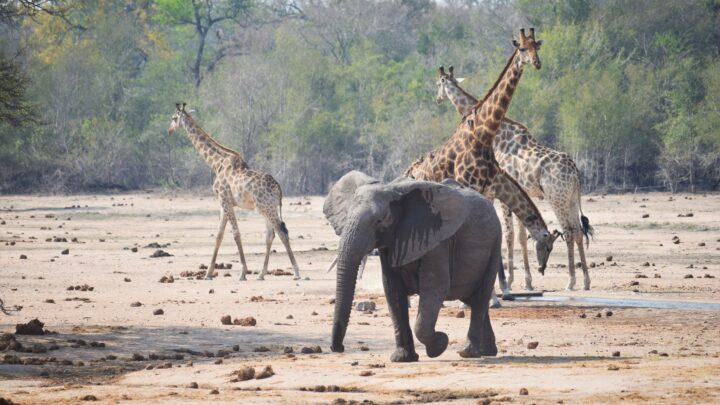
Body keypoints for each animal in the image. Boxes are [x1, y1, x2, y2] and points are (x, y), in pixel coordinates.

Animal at [168, 102, 300, 280]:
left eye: (173, 118)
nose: (169, 130)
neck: (216, 163)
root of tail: (279, 188)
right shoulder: (224, 203)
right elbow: (219, 235)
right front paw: (208, 274)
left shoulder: (224, 200)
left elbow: (235, 234)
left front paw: (243, 272)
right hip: (266, 209)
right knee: (270, 234)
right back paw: (261, 274)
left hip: (268, 208)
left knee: (281, 232)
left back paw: (296, 272)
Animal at [324, 170, 500, 360]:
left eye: (380, 220)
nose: (338, 348)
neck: (390, 187)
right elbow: (392, 290)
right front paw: (402, 358)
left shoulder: (438, 241)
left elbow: (435, 287)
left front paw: (439, 344)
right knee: (474, 299)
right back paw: (487, 351)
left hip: (494, 245)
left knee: (481, 296)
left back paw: (469, 352)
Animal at [436, 64, 592, 290]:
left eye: (438, 83)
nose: (437, 98)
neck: (496, 133)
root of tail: (575, 173)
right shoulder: (515, 191)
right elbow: (521, 236)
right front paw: (527, 282)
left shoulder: (495, 191)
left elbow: (509, 235)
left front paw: (509, 281)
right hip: (571, 199)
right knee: (579, 231)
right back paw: (586, 281)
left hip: (557, 198)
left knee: (569, 231)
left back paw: (571, 282)